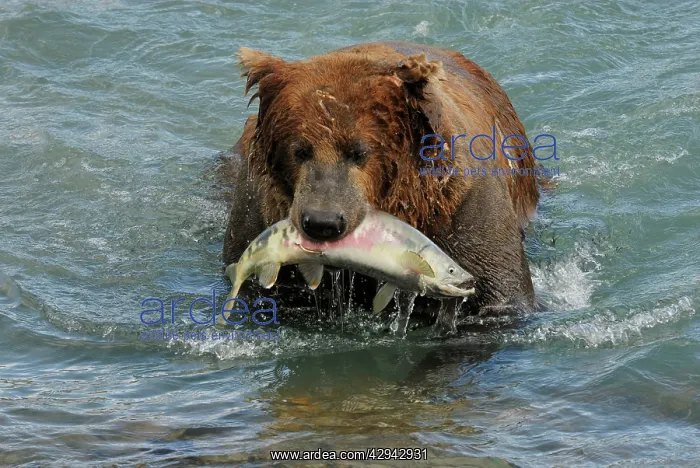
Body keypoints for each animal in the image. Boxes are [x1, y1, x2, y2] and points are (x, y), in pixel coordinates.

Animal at [220, 41, 540, 319]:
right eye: (299, 150)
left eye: (359, 151)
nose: (323, 222)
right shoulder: (257, 212)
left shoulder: (464, 209)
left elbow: (499, 295)